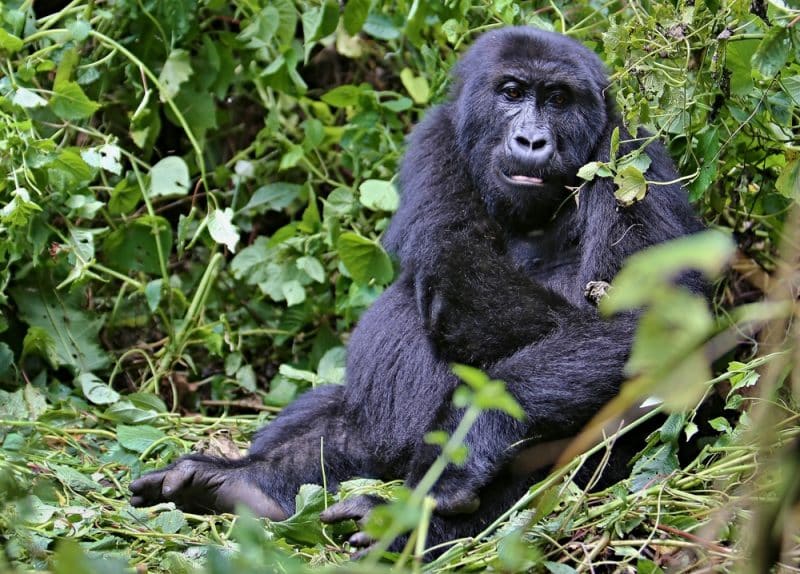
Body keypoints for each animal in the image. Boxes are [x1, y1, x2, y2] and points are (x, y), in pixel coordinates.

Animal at [128, 25, 704, 552]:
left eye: (558, 99)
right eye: (512, 92)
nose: (531, 141)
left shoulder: (631, 160)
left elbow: (644, 326)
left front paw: (455, 458)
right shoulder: (437, 138)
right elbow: (449, 268)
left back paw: (405, 524)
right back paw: (249, 482)